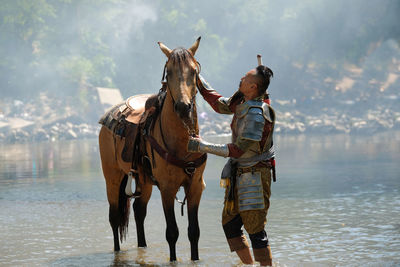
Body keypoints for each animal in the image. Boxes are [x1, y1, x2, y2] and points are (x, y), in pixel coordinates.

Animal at [98, 37, 208, 262]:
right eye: (169, 72)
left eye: (194, 71)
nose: (183, 107)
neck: (182, 143)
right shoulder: (167, 188)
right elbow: (172, 232)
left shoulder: (195, 187)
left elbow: (194, 232)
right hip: (112, 177)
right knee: (114, 217)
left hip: (144, 181)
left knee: (139, 211)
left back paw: (143, 247)